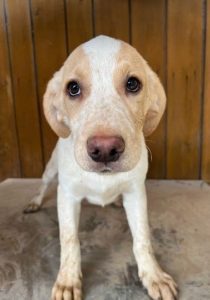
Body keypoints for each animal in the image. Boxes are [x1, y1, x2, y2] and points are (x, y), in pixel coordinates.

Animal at [23, 35, 177, 300]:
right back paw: (34, 201)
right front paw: (67, 281)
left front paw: (154, 276)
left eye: (133, 84)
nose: (105, 149)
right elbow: (70, 240)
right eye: (73, 88)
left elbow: (142, 239)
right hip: (50, 169)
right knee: (43, 185)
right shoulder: (67, 195)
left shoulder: (136, 193)